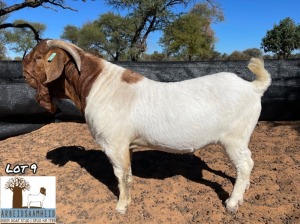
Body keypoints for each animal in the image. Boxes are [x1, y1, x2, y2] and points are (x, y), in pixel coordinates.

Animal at [22, 39, 272, 214]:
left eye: (38, 58)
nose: (22, 70)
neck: (95, 85)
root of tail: (254, 87)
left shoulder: (114, 144)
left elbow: (121, 175)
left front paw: (121, 207)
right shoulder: (127, 146)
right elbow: (128, 173)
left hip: (234, 138)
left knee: (245, 164)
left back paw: (232, 202)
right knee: (247, 163)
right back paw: (244, 190)